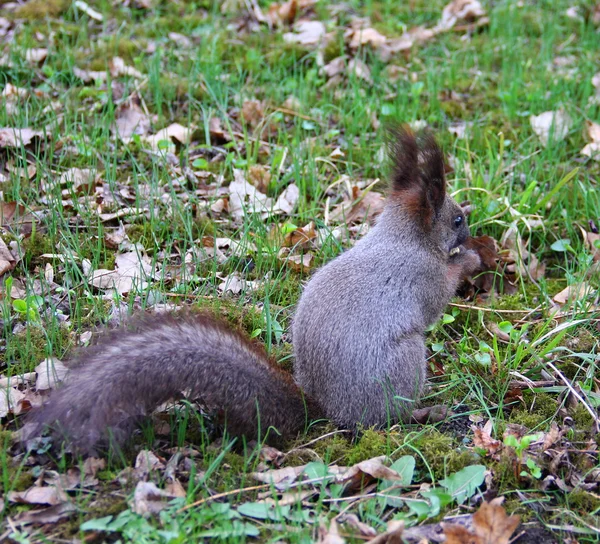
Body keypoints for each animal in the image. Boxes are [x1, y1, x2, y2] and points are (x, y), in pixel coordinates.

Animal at [23, 127, 480, 454]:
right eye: (456, 219)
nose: (470, 228)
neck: (403, 237)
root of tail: (325, 410)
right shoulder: (421, 275)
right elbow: (438, 295)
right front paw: (470, 260)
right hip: (403, 364)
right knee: (388, 421)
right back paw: (426, 412)